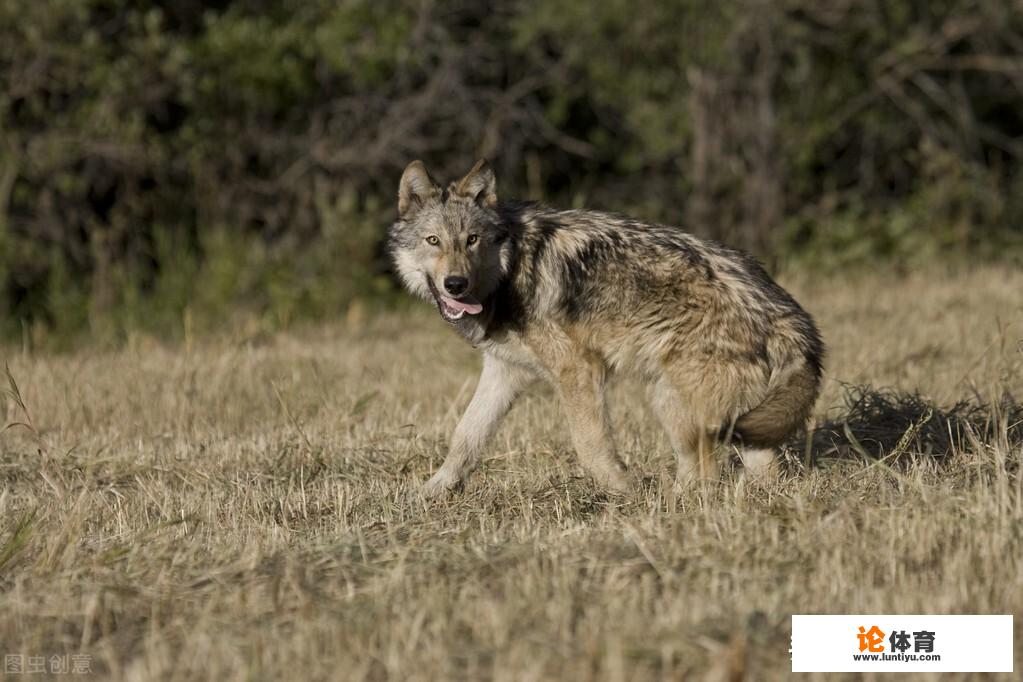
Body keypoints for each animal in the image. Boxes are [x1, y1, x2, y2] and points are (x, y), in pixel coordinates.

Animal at [388, 159, 822, 498]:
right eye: (433, 241)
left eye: (472, 240)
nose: (455, 284)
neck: (509, 271)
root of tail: (792, 318)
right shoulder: (505, 372)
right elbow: (465, 437)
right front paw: (429, 493)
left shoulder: (579, 371)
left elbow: (589, 445)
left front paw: (623, 491)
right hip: (715, 415)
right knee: (760, 471)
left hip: (671, 403)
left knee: (705, 474)